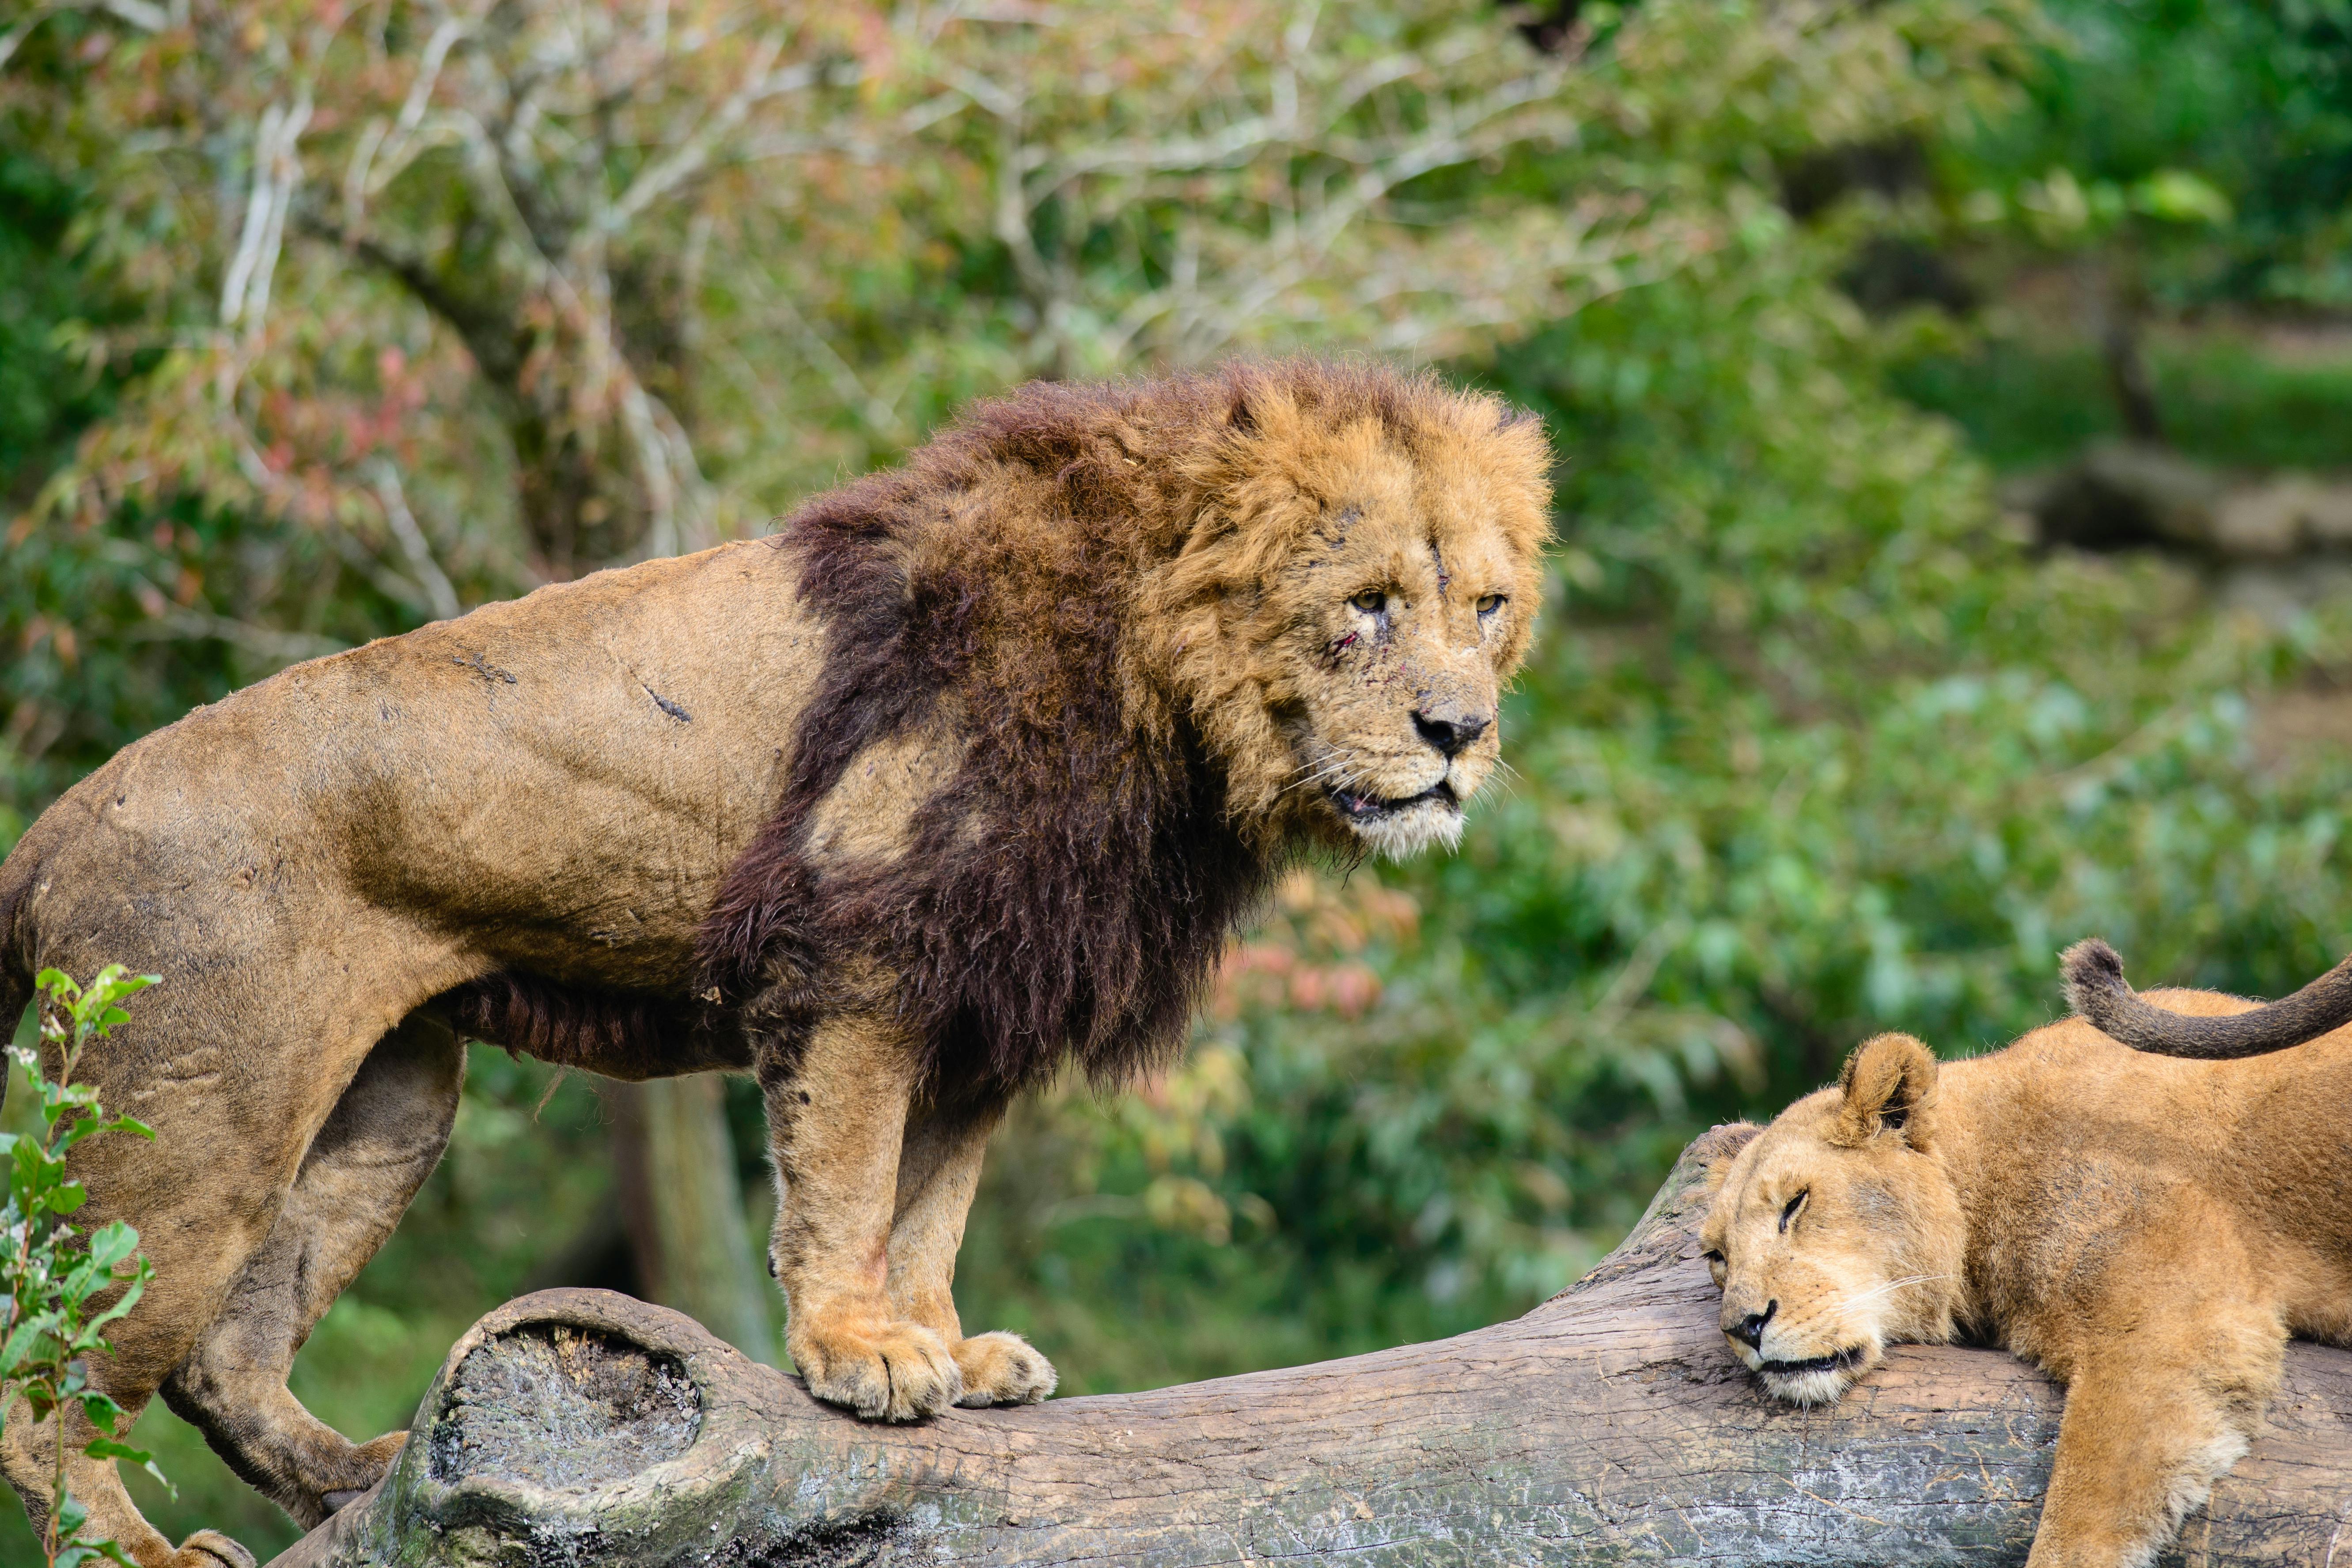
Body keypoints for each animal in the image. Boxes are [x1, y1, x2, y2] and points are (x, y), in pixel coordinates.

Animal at [0, 359, 1552, 1567]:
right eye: (1364, 601)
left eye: (1482, 605)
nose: (1457, 732)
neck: (1165, 698)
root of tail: (53, 826)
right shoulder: (858, 951)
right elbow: (849, 1182)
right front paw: (858, 1352)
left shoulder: (984, 993)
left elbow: (932, 1203)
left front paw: (948, 1348)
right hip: (204, 1106)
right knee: (46, 1356)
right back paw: (135, 1545)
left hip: (390, 1099)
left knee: (222, 1354)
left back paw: (353, 1473)